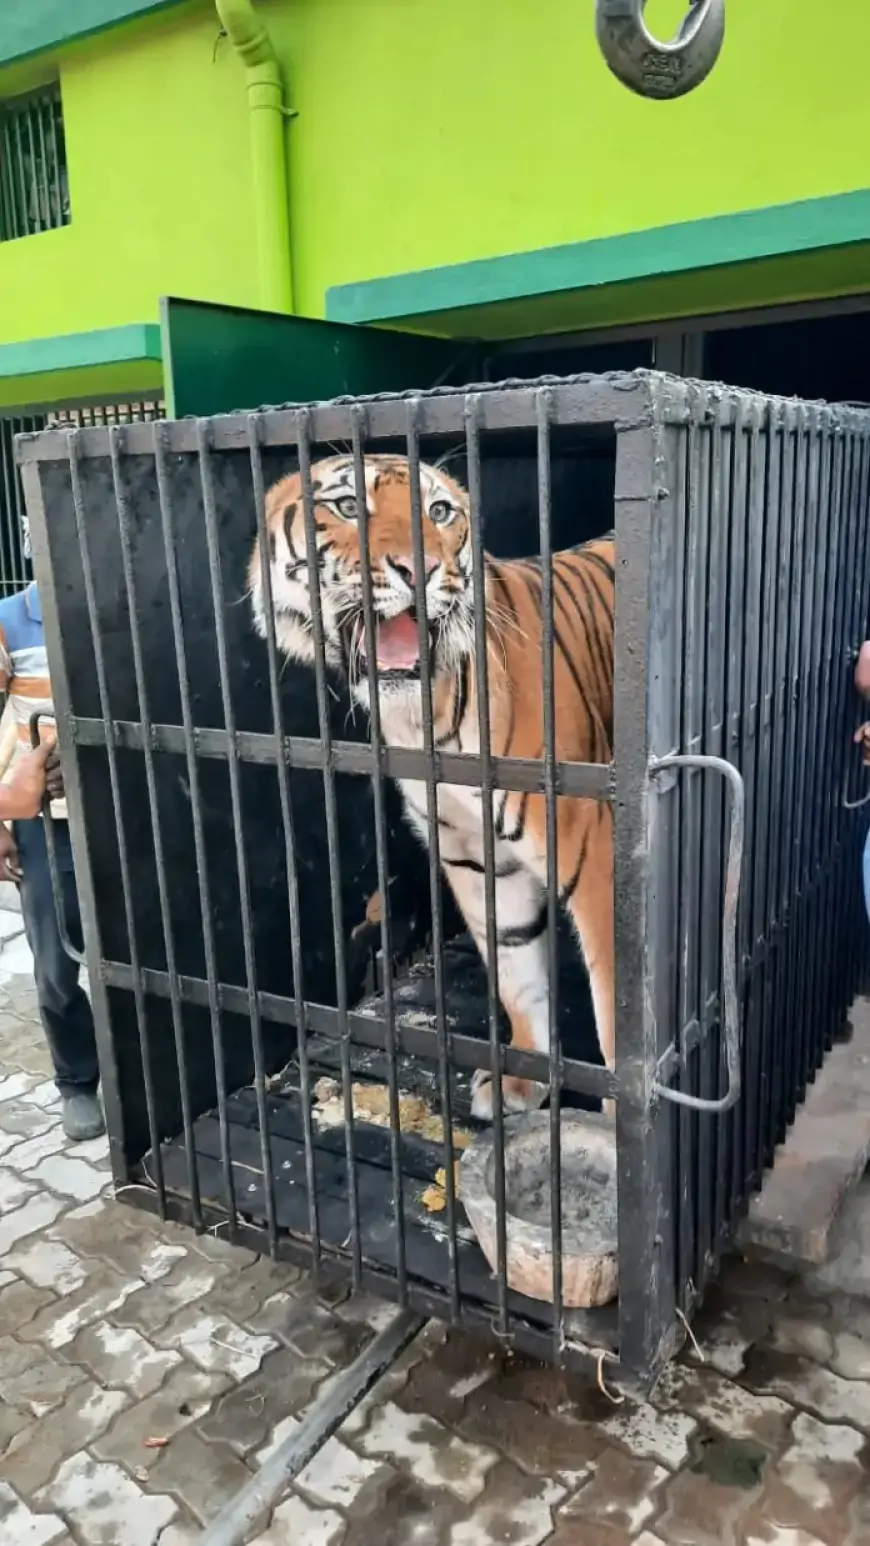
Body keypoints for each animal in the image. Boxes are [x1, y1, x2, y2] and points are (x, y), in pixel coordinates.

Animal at [250, 451, 618, 1119]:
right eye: (348, 507)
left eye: (440, 512)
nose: (417, 570)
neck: (421, 715)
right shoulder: (474, 855)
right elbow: (515, 968)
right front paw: (524, 1078)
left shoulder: (598, 857)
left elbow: (617, 1015)